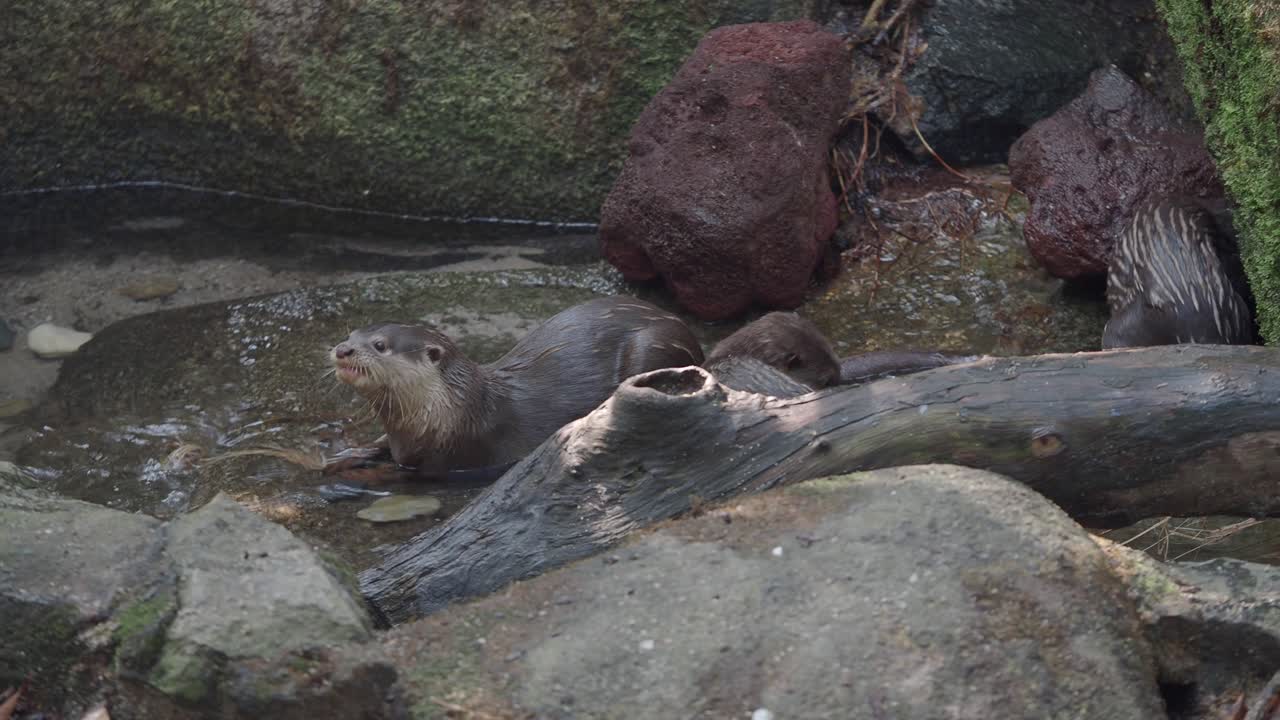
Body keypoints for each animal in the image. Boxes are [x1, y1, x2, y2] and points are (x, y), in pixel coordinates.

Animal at [330, 296, 703, 476]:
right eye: (350, 334)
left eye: (379, 345)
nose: (342, 349)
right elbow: (379, 446)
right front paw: (346, 455)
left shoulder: (457, 454)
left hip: (651, 347)